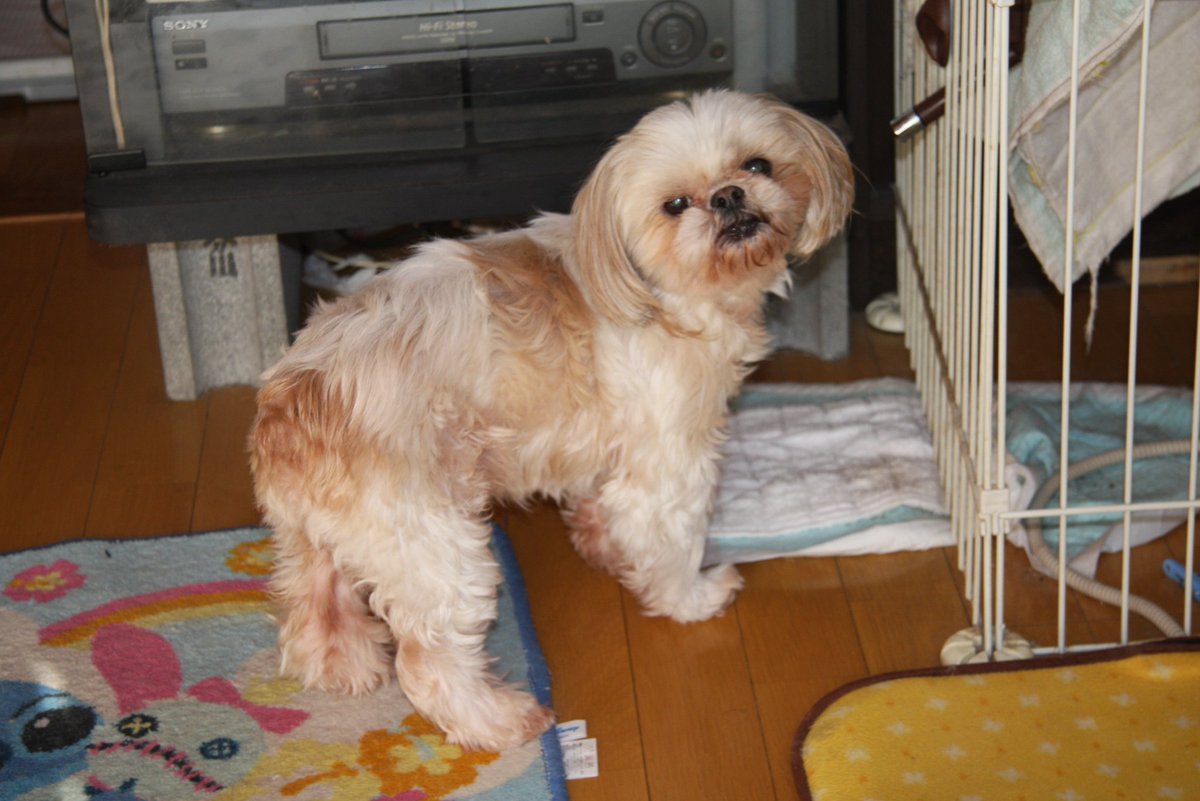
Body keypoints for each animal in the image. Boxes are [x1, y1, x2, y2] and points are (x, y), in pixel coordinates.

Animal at [250, 90, 853, 751]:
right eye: (674, 205)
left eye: (758, 165)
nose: (727, 196)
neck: (662, 295)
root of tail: (296, 399)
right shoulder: (669, 461)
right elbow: (669, 540)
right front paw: (691, 598)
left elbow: (599, 506)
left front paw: (604, 548)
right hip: (433, 546)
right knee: (429, 665)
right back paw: (500, 721)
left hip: (315, 541)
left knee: (314, 617)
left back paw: (348, 667)